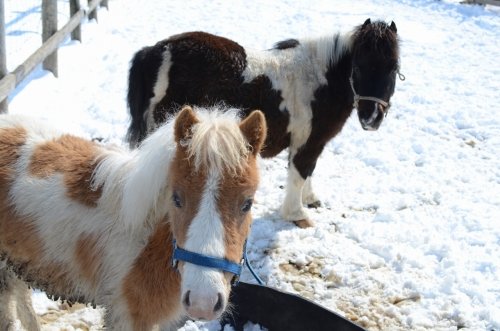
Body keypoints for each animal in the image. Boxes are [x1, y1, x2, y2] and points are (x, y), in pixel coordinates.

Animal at [126, 19, 402, 230]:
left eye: (393, 68)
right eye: (358, 67)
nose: (371, 118)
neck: (320, 81)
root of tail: (156, 51)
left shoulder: (314, 142)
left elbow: (308, 172)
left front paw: (310, 199)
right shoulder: (306, 143)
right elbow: (300, 173)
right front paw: (297, 214)